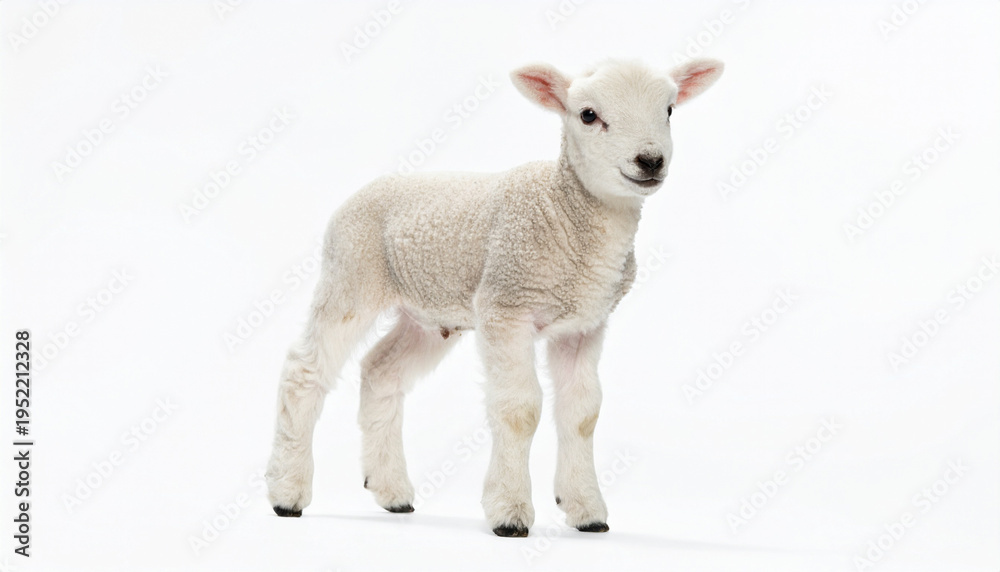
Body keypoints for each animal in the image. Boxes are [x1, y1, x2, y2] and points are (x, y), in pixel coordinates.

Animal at [265, 57, 724, 537]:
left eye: (669, 110)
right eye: (588, 115)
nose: (650, 160)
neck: (566, 210)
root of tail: (364, 191)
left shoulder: (584, 324)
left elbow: (583, 413)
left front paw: (587, 510)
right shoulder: (506, 306)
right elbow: (519, 409)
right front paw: (510, 512)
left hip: (427, 313)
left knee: (380, 371)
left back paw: (391, 491)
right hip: (351, 273)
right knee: (303, 371)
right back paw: (287, 492)